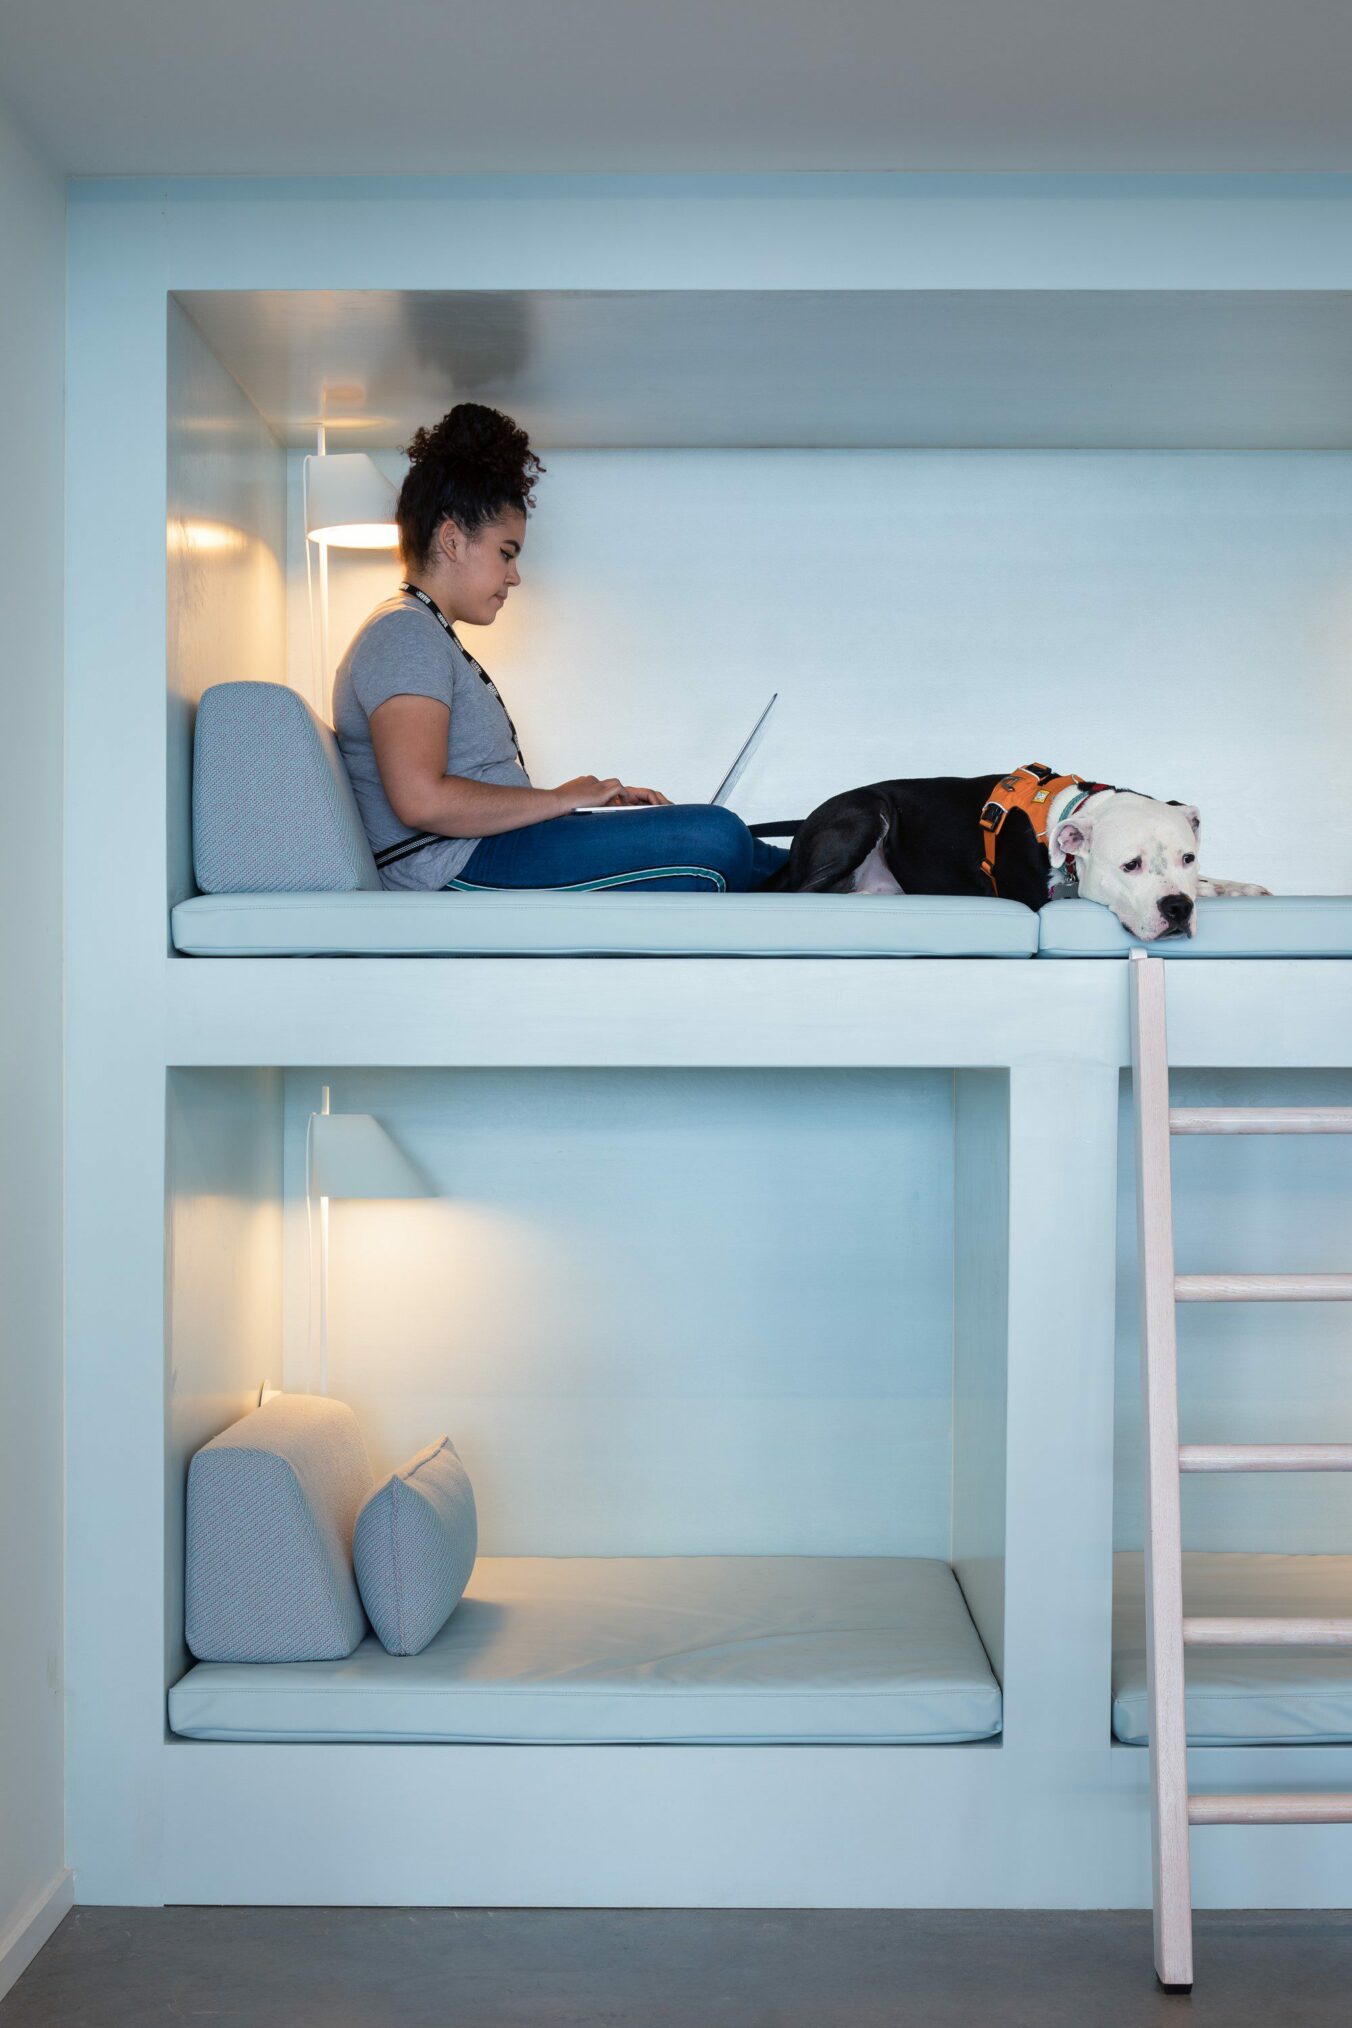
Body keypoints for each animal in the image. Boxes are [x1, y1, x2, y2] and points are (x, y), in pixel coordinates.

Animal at [766, 766, 1272, 940]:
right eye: (1130, 865)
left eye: (1189, 858)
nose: (1177, 909)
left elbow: (1210, 884)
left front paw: (1241, 887)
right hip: (866, 815)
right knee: (801, 893)